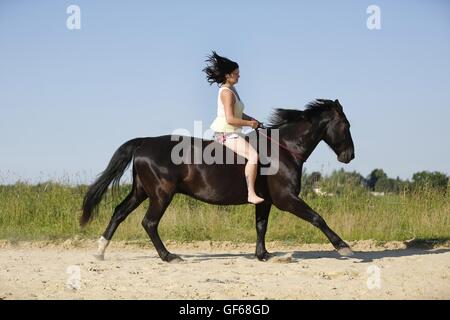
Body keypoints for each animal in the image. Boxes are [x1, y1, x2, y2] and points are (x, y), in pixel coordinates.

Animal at [81, 99, 356, 262]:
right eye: (346, 124)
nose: (349, 156)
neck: (283, 149)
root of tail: (144, 142)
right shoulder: (286, 199)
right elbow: (317, 218)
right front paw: (344, 247)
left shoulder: (265, 201)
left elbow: (261, 226)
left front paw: (263, 255)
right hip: (160, 194)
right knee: (149, 223)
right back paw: (169, 256)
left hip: (142, 191)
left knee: (119, 212)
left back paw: (100, 251)